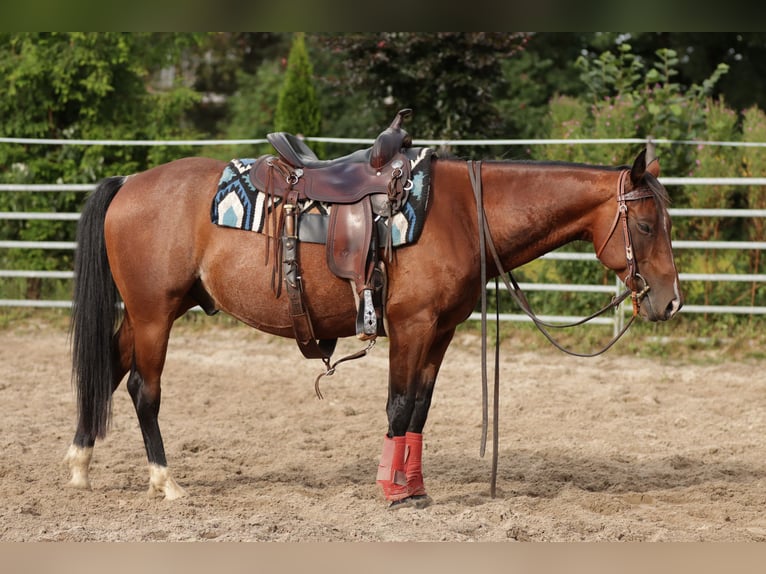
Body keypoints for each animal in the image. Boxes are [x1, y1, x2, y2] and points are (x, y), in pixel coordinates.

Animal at [64, 147, 684, 508]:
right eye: (646, 225)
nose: (671, 301)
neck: (462, 212)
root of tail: (128, 183)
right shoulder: (410, 326)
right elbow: (398, 404)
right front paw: (391, 489)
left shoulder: (440, 332)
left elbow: (419, 410)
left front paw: (416, 488)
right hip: (154, 313)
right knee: (143, 389)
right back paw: (164, 481)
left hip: (148, 313)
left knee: (107, 370)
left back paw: (79, 466)